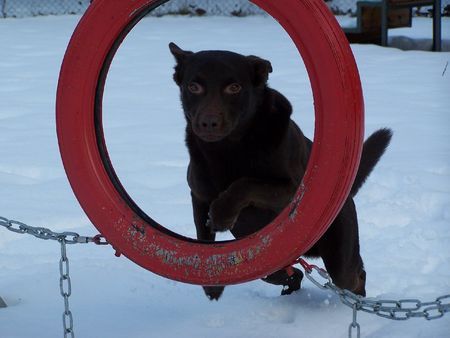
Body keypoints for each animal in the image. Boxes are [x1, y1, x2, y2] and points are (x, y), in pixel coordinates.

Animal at [169, 41, 390, 300]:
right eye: (193, 86)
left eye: (234, 87)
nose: (208, 122)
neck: (230, 149)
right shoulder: (199, 194)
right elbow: (202, 235)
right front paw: (212, 283)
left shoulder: (292, 189)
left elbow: (245, 184)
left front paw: (222, 214)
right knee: (286, 272)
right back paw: (292, 282)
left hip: (339, 250)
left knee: (353, 275)